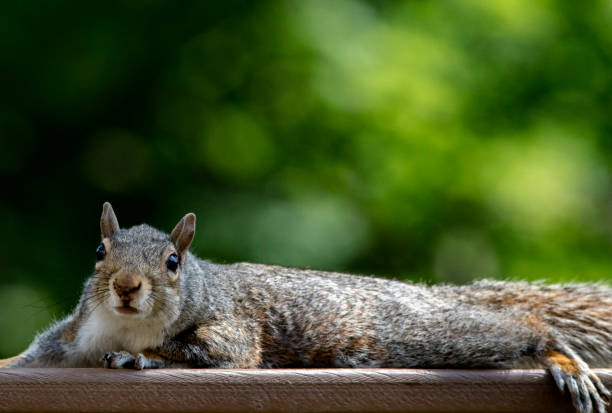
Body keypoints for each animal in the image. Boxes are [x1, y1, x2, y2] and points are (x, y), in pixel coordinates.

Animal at [0, 203, 608, 412]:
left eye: (173, 262)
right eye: (100, 251)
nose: (127, 287)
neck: (124, 327)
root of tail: (434, 295)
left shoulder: (232, 331)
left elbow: (213, 352)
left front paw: (141, 359)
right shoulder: (75, 338)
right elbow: (33, 359)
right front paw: (7, 364)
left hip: (422, 333)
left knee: (521, 324)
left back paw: (562, 361)